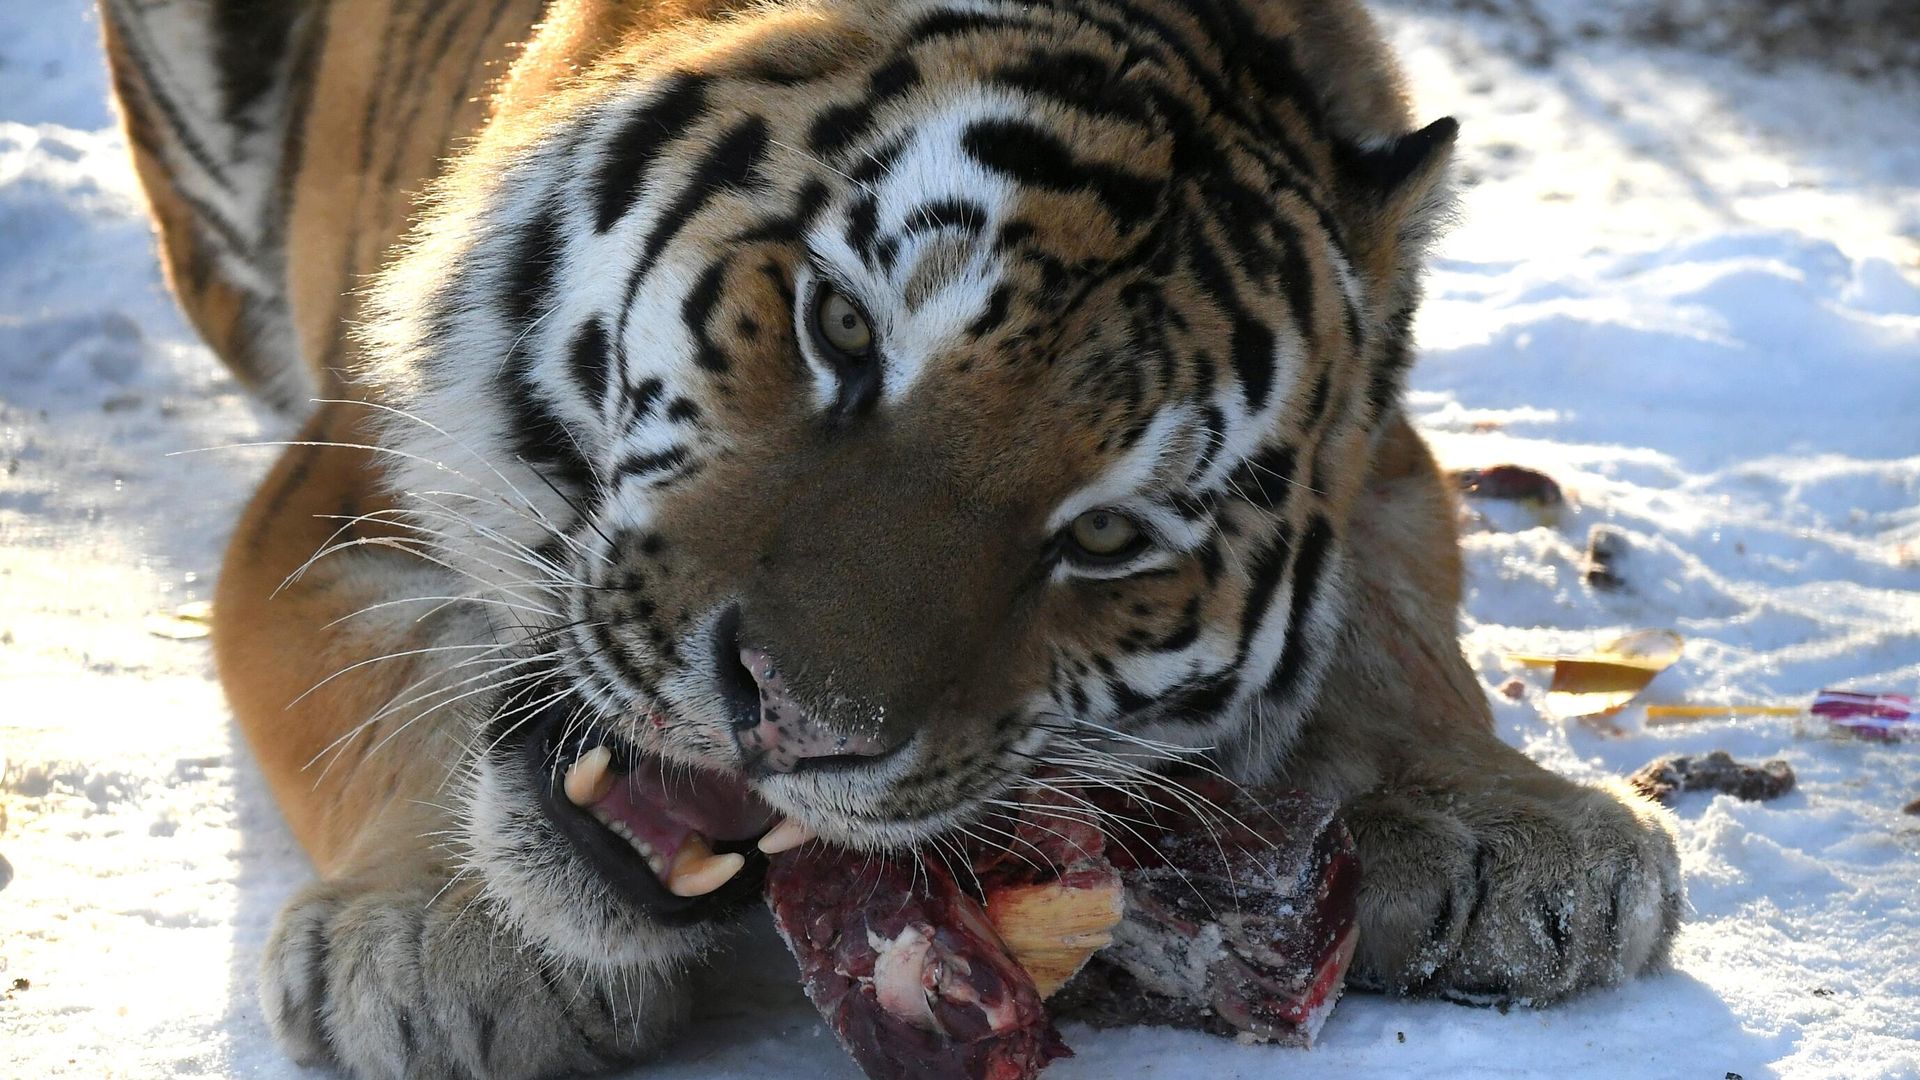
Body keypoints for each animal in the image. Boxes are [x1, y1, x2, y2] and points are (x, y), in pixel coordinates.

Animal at [100, 0, 1684, 1076]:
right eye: (841, 328)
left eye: (1108, 534)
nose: (790, 719)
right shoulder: (336, 480)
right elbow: (388, 684)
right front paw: (446, 942)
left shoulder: (1389, 451)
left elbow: (1404, 616)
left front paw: (1515, 837)